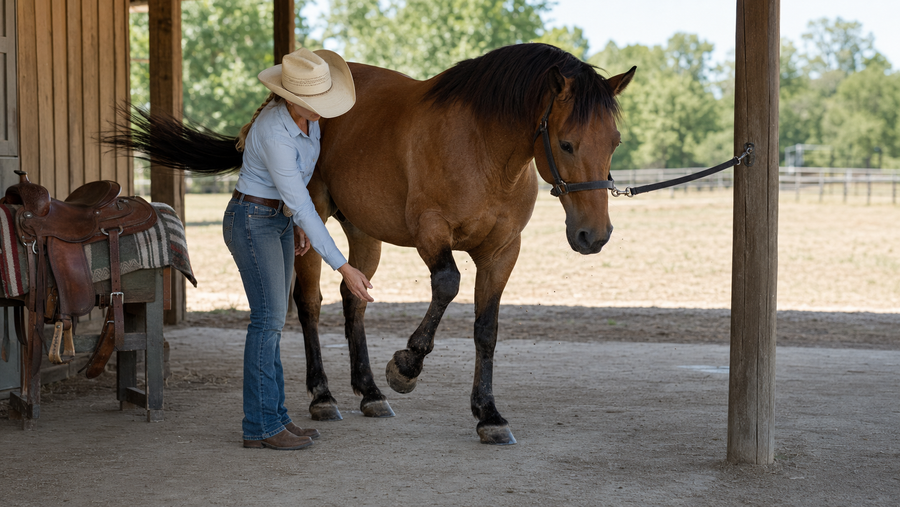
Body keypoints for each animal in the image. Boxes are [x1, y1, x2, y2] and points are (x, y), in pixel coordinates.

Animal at [108, 43, 635, 445]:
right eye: (566, 143)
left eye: (614, 141)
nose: (594, 236)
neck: (484, 148)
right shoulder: (431, 233)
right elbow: (447, 284)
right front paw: (405, 366)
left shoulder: (502, 253)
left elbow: (486, 330)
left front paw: (488, 414)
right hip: (310, 225)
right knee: (310, 303)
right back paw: (324, 396)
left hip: (364, 233)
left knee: (352, 298)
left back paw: (368, 392)